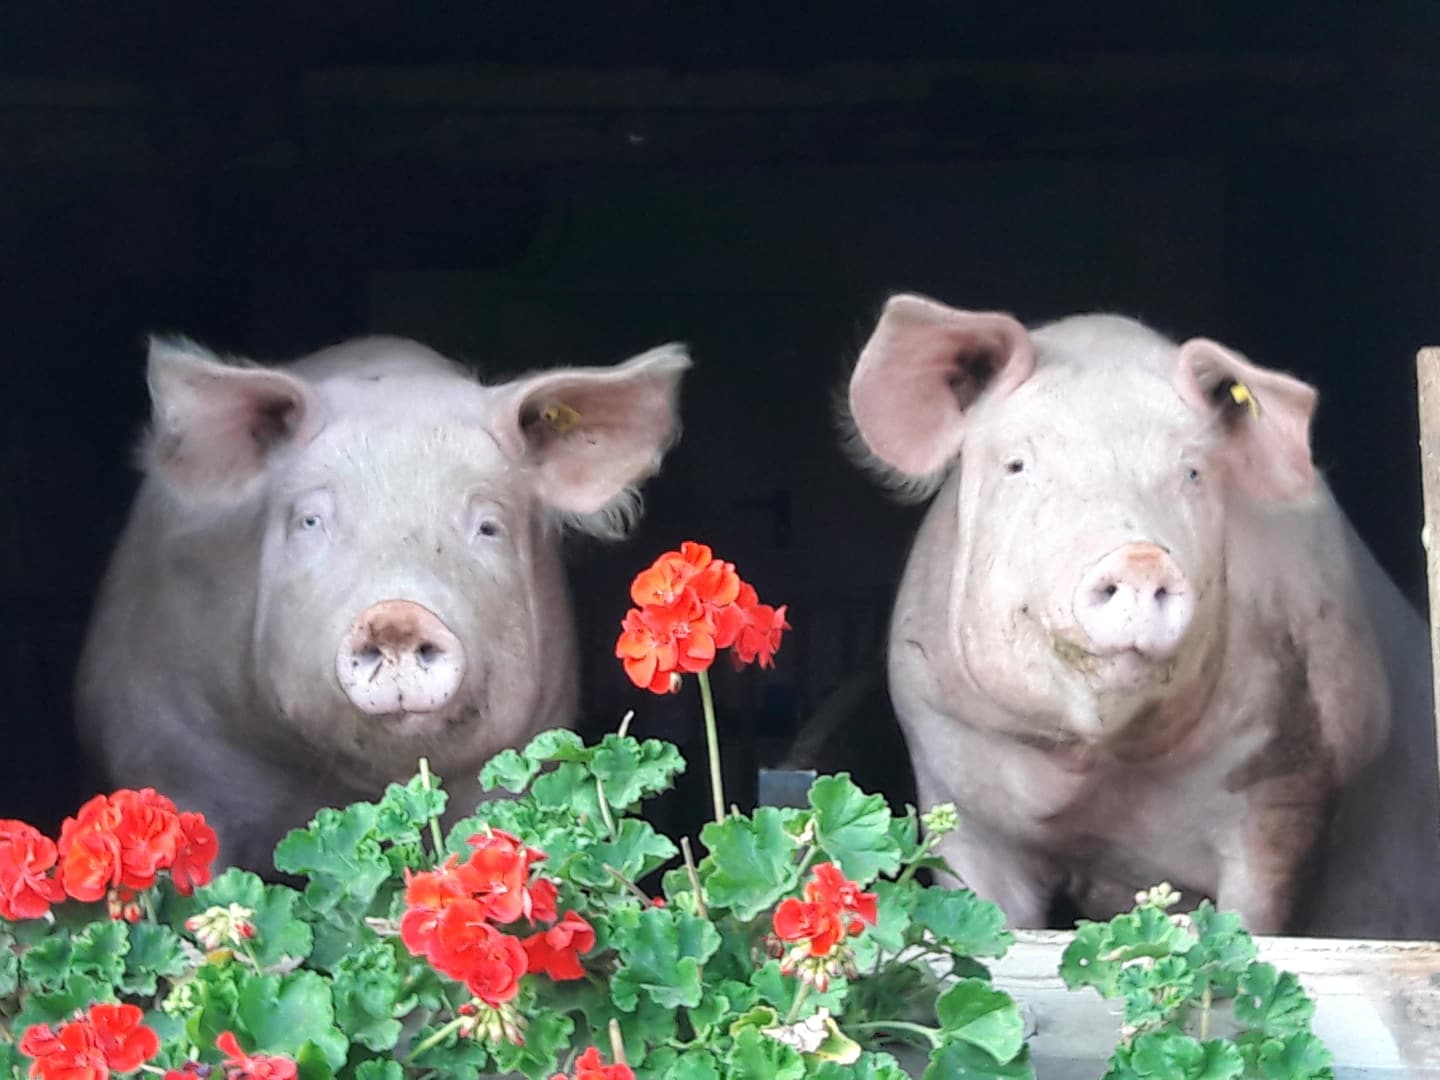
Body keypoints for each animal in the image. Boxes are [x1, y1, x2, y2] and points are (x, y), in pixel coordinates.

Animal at [842, 292, 1440, 938]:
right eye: (1017, 465)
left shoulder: (1288, 786)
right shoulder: (954, 785)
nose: (1140, 558)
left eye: (1193, 472)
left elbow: (1253, 920)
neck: (1102, 773)